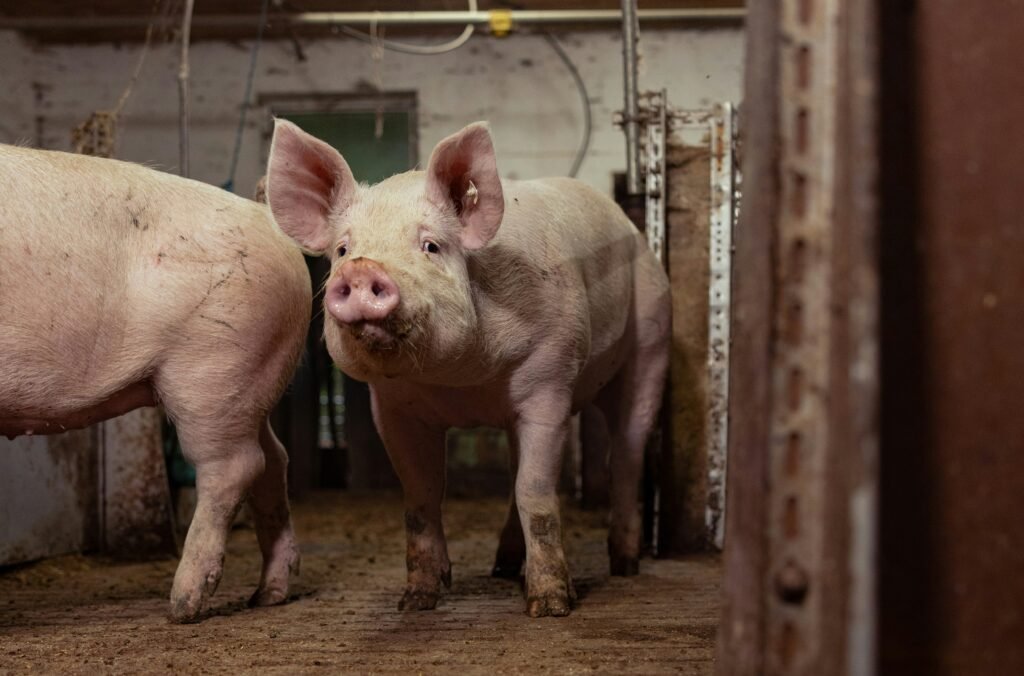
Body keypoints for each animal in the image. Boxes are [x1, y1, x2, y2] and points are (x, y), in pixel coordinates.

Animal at [0, 143, 311, 623]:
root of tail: (262, 212)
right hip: (251, 383)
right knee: (274, 460)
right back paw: (267, 595)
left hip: (213, 370)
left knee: (233, 468)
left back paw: (183, 606)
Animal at [265, 120, 671, 617]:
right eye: (343, 249)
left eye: (431, 246)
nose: (361, 269)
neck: (461, 384)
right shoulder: (394, 409)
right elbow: (422, 497)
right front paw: (416, 601)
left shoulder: (550, 379)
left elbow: (535, 492)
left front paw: (549, 606)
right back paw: (502, 568)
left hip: (652, 340)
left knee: (628, 451)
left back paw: (625, 565)